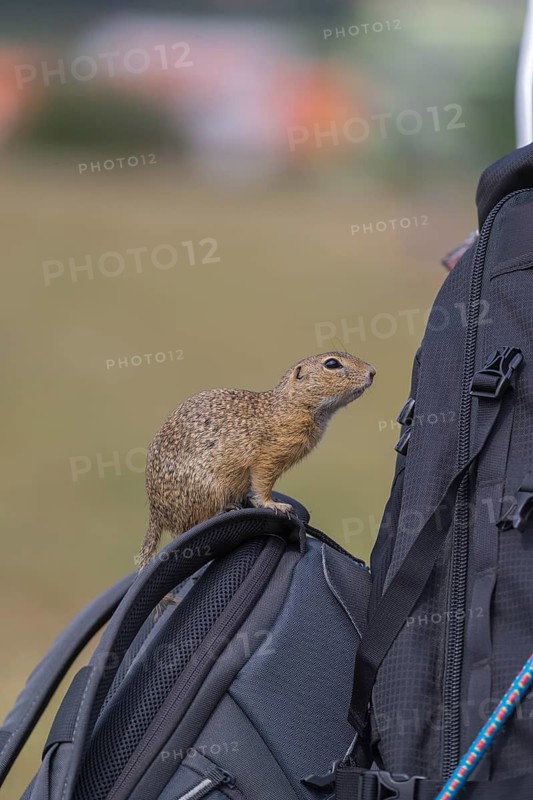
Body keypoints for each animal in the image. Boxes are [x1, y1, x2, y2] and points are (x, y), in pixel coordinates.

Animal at [137, 351, 375, 571]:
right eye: (332, 364)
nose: (372, 371)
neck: (291, 405)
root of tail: (156, 513)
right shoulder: (268, 457)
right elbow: (262, 484)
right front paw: (275, 504)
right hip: (209, 491)